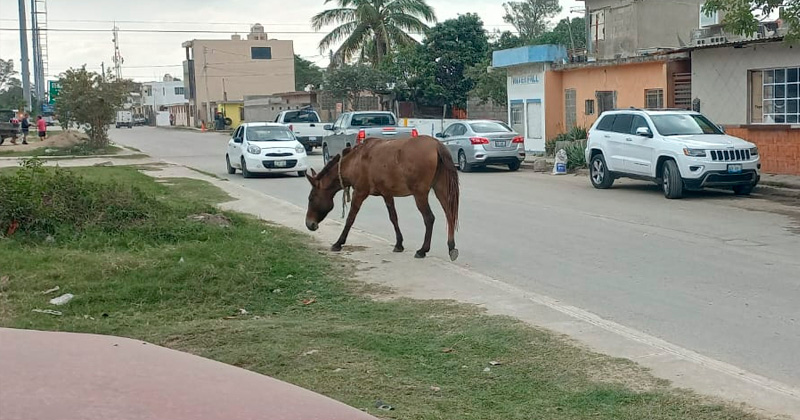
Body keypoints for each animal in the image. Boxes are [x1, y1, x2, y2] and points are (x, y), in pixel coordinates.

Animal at [304, 135, 460, 261]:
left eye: (311, 198)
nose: (309, 224)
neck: (355, 161)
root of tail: (436, 145)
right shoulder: (387, 194)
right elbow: (393, 218)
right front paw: (399, 244)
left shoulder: (359, 193)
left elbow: (350, 218)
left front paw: (338, 243)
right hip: (441, 190)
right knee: (449, 214)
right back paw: (451, 246)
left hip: (420, 194)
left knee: (429, 218)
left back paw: (423, 250)